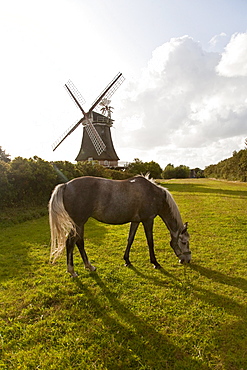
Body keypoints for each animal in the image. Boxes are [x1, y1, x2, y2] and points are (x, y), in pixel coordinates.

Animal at [48, 175, 191, 276]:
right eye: (184, 242)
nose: (187, 260)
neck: (153, 193)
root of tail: (66, 185)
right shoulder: (148, 220)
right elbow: (150, 242)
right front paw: (155, 263)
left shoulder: (135, 221)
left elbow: (130, 240)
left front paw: (127, 260)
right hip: (78, 222)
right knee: (70, 243)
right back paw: (72, 271)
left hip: (80, 224)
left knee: (79, 242)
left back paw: (89, 266)